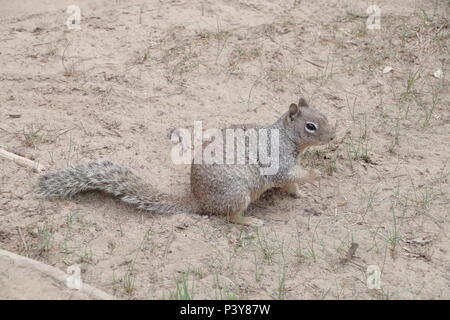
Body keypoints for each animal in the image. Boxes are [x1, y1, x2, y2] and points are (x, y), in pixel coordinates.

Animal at [37, 97, 334, 225]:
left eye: (324, 115)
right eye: (310, 126)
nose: (333, 135)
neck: (286, 137)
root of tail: (200, 202)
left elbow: (291, 185)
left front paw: (301, 193)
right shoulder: (279, 162)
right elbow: (289, 176)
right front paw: (316, 174)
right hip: (238, 194)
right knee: (230, 217)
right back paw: (250, 221)